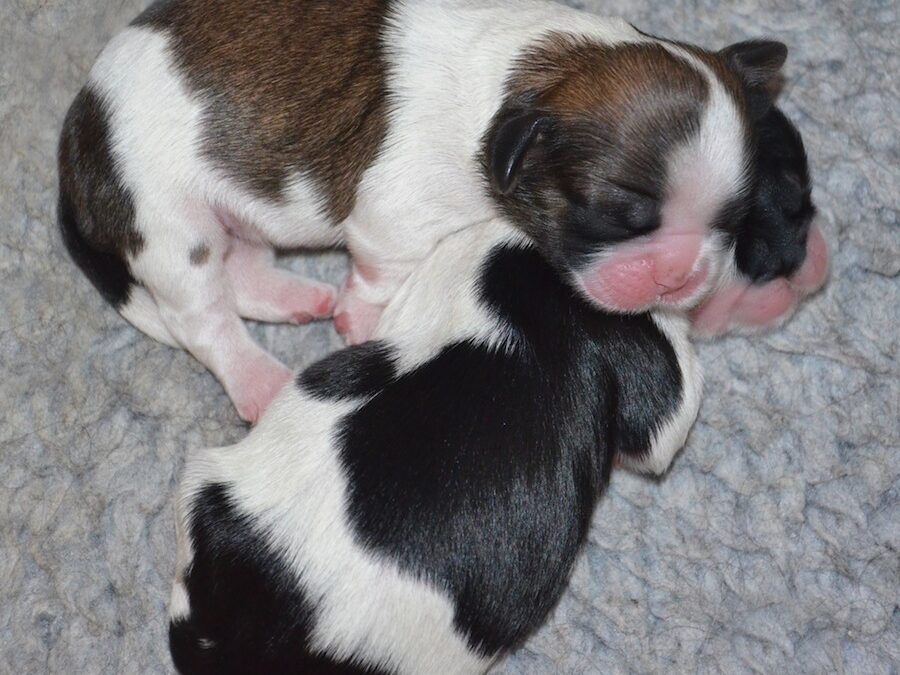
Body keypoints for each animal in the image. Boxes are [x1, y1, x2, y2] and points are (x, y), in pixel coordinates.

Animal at [56, 0, 788, 420]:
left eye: (733, 221)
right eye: (618, 216)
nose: (681, 276)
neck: (536, 74)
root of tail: (77, 142)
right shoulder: (394, 217)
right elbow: (382, 273)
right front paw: (358, 318)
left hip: (237, 206)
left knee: (244, 268)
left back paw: (294, 297)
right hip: (170, 222)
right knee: (203, 319)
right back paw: (259, 380)